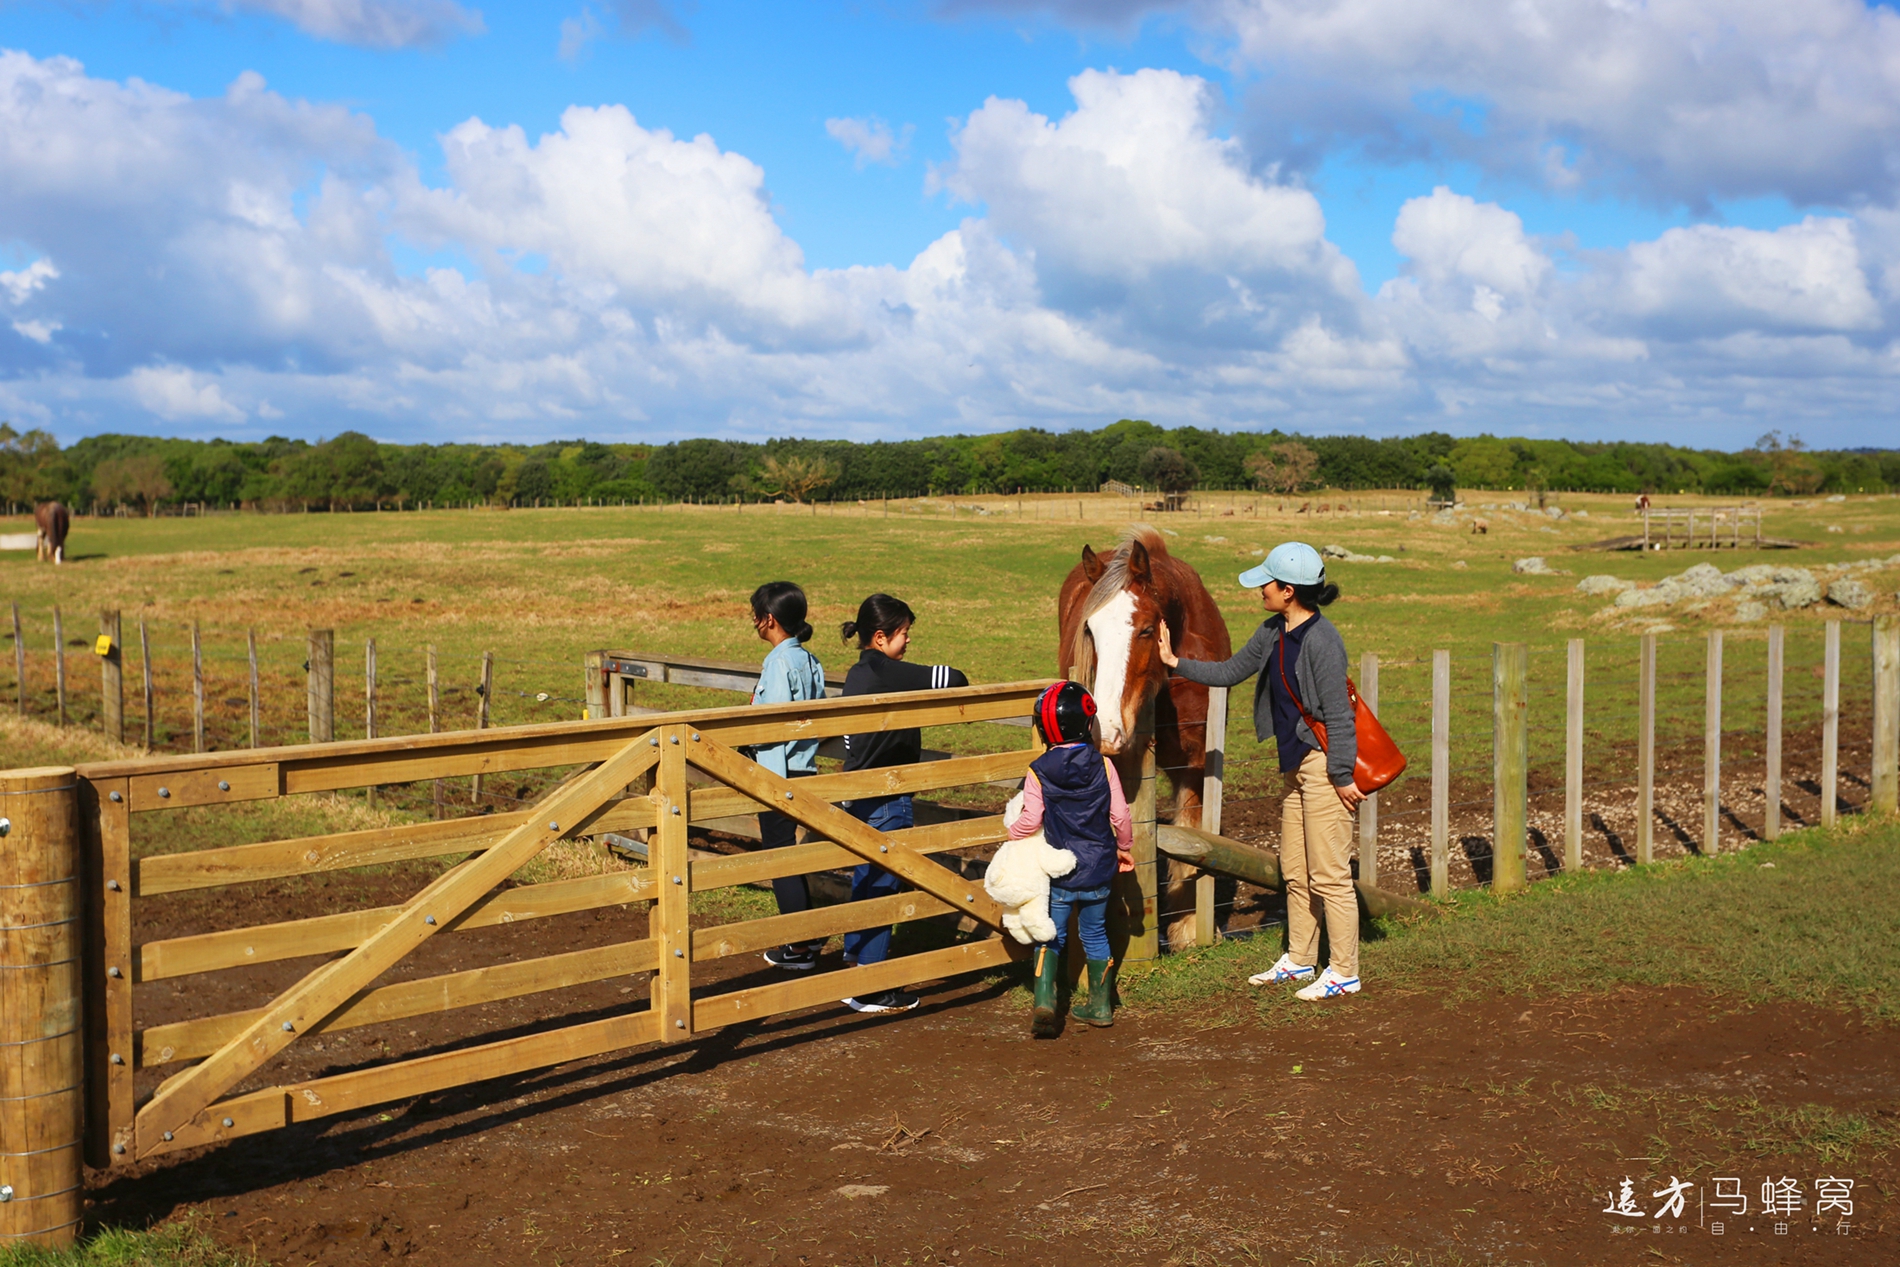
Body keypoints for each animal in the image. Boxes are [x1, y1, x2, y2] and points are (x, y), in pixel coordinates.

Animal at [1056, 524, 1231, 949]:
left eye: (1148, 629)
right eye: (1090, 630)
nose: (1102, 731)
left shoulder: (1196, 761)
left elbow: (1192, 833)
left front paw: (1188, 926)